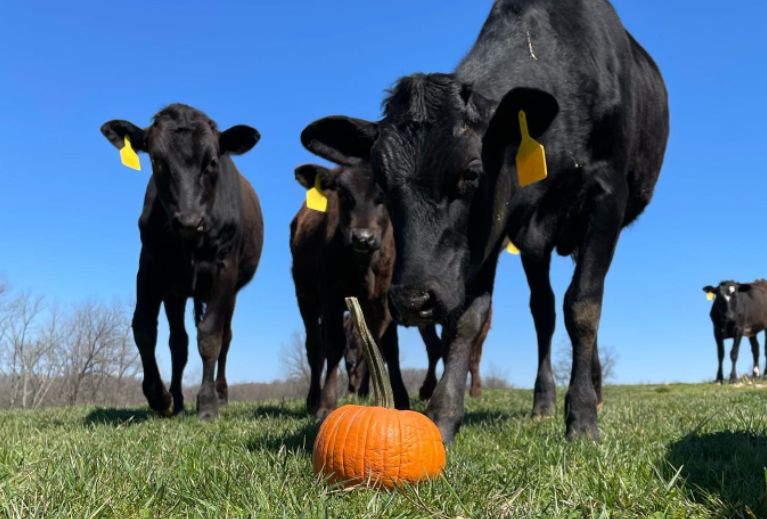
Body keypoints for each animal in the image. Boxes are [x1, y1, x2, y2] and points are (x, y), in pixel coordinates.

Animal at [100, 104, 263, 420]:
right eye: (156, 160)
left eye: (212, 161)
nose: (189, 220)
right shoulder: (150, 267)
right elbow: (144, 328)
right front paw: (160, 397)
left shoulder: (224, 270)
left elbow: (210, 336)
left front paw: (208, 403)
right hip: (176, 292)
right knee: (179, 343)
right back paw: (176, 400)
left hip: (232, 292)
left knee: (225, 337)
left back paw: (221, 394)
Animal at [290, 163, 409, 418]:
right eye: (343, 194)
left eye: (383, 194)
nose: (363, 238)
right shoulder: (329, 295)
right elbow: (334, 345)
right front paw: (326, 403)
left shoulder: (383, 300)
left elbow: (387, 348)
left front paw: (400, 398)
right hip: (305, 297)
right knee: (315, 347)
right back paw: (313, 398)